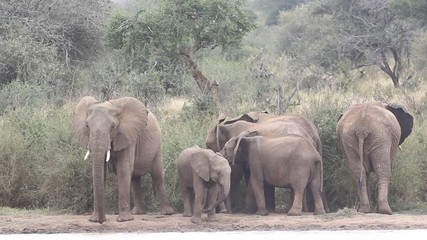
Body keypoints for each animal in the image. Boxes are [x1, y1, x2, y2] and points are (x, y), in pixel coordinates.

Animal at [73, 95, 174, 223]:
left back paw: (167, 213)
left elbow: (123, 169)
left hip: (157, 145)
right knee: (135, 179)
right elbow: (100, 171)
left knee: (157, 175)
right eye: (87, 126)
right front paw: (94, 220)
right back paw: (137, 212)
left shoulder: (128, 135)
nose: (102, 221)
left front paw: (124, 220)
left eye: (113, 126)